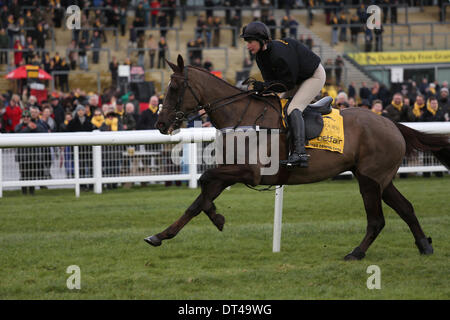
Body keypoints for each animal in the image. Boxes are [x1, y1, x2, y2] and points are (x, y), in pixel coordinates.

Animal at [147, 55, 450, 260]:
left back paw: (356, 252)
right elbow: (197, 202)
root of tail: (391, 123)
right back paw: (424, 245)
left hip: (370, 180)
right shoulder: (229, 171)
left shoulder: (250, 172)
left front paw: (217, 218)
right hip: (380, 179)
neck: (241, 117)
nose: (161, 123)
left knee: (377, 220)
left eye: (175, 88)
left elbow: (204, 181)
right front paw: (161, 235)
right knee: (406, 208)